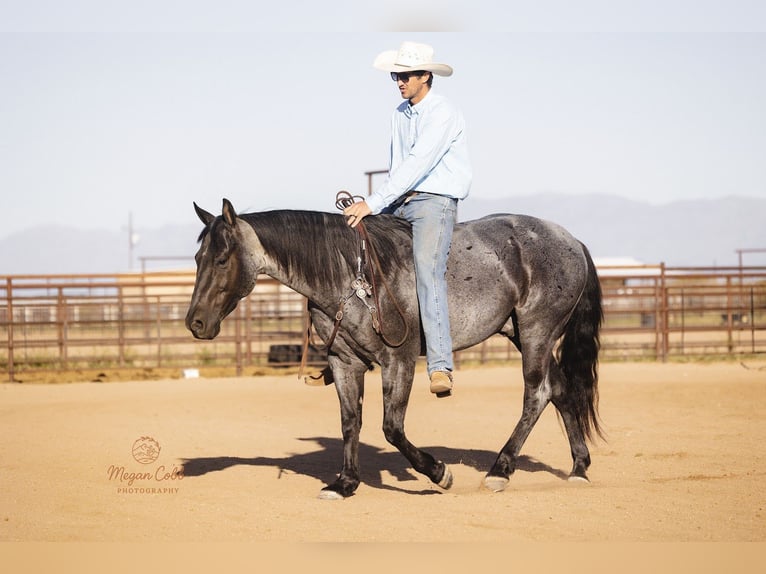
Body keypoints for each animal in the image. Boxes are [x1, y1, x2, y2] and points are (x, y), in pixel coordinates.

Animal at [186, 198, 603, 499]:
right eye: (197, 257)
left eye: (221, 259)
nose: (195, 323)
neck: (351, 276)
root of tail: (570, 240)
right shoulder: (344, 363)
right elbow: (350, 423)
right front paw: (345, 484)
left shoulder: (397, 360)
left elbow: (391, 427)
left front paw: (439, 473)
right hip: (522, 332)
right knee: (561, 389)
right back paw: (579, 469)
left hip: (537, 331)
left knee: (537, 393)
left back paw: (499, 472)